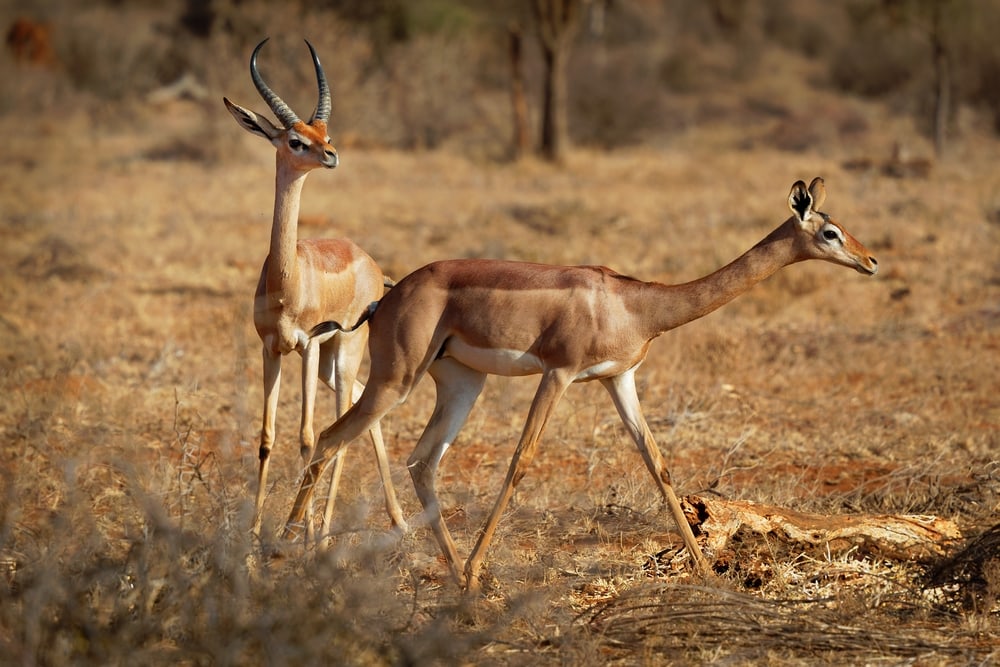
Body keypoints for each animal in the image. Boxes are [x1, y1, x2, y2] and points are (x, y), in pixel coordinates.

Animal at [224, 39, 406, 537]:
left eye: (324, 131)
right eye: (296, 139)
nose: (331, 154)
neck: (286, 281)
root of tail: (373, 265)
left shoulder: (304, 346)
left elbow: (306, 438)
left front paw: (297, 532)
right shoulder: (270, 348)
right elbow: (267, 438)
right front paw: (252, 535)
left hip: (341, 355)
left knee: (340, 427)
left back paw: (321, 533)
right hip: (331, 364)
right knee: (360, 408)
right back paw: (398, 521)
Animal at [284, 177, 878, 591]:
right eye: (828, 231)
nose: (871, 260)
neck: (636, 303)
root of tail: (387, 295)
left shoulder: (620, 379)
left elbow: (658, 464)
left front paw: (711, 577)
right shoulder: (559, 373)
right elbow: (521, 461)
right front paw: (479, 566)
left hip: (462, 385)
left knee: (422, 462)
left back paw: (455, 576)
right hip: (395, 381)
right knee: (331, 439)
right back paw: (287, 548)